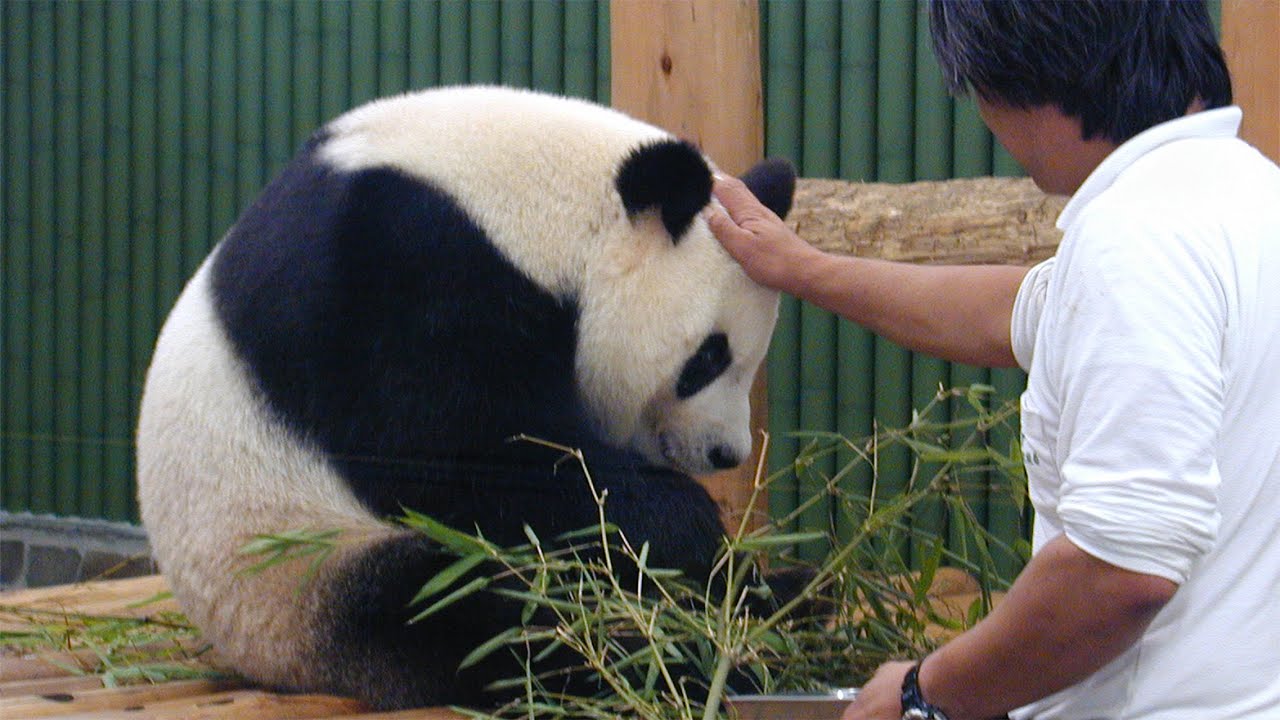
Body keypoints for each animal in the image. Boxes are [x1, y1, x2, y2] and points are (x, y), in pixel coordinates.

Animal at [136, 85, 796, 710]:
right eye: (708, 357)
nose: (726, 454)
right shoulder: (394, 273)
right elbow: (462, 456)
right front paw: (686, 525)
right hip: (290, 570)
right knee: (480, 610)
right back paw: (669, 658)